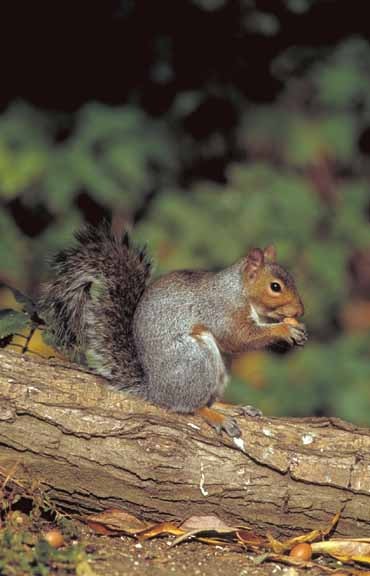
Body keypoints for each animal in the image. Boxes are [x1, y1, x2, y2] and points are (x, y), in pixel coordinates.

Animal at [39, 225, 308, 436]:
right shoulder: (222, 311)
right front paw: (284, 330)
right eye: (275, 287)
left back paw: (230, 407)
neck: (239, 291)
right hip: (195, 359)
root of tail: (156, 391)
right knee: (190, 406)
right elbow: (238, 337)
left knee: (209, 398)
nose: (300, 311)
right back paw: (217, 417)